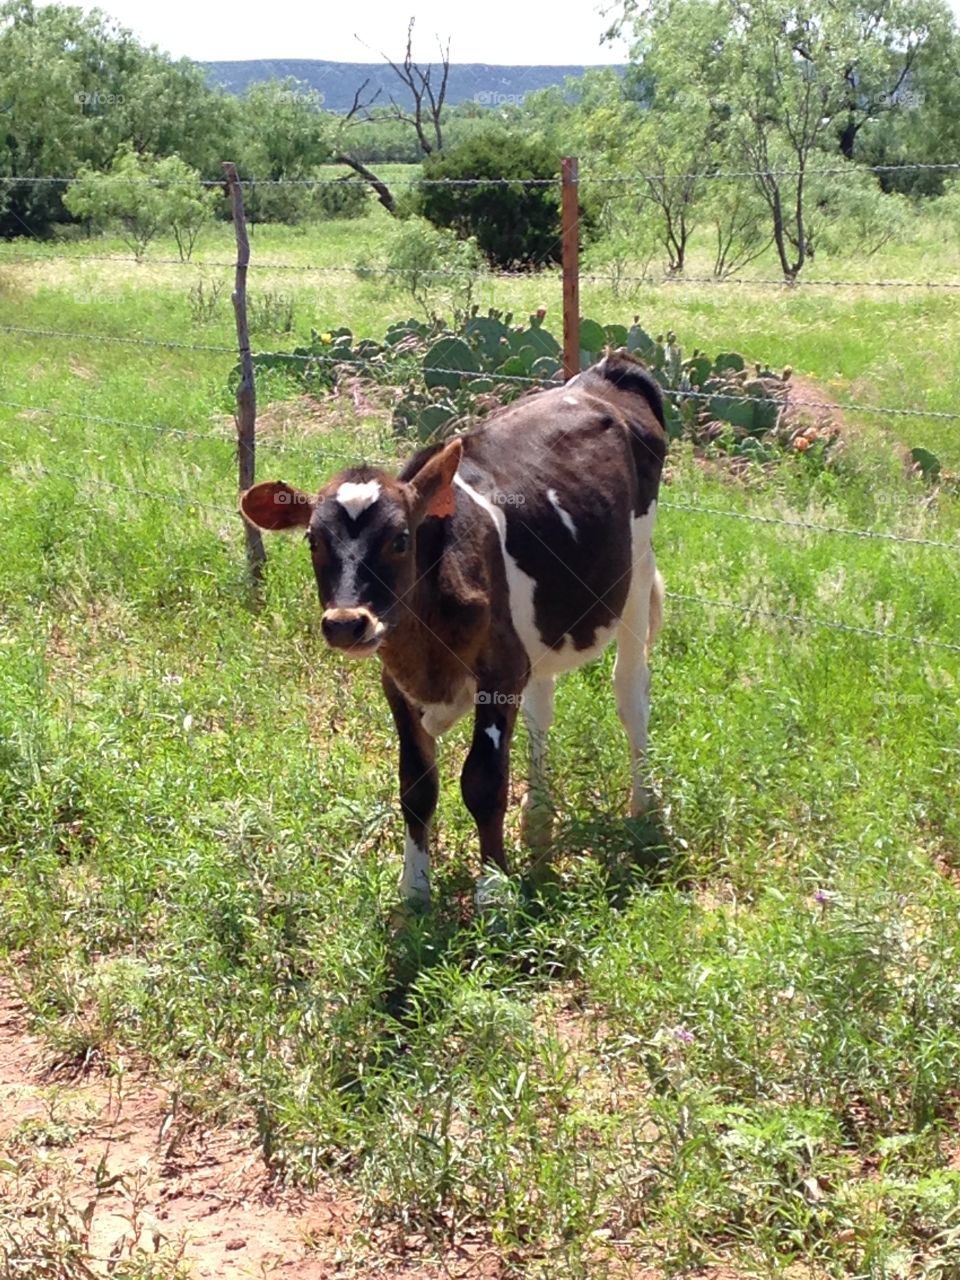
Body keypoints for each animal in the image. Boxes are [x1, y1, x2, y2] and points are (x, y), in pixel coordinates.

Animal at [240, 351, 667, 906]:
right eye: (313, 540)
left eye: (401, 539)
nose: (346, 624)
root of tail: (606, 370)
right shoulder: (399, 683)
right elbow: (416, 785)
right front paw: (414, 889)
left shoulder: (499, 674)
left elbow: (483, 782)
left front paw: (494, 888)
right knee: (542, 706)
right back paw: (537, 820)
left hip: (636, 574)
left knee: (630, 693)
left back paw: (644, 806)